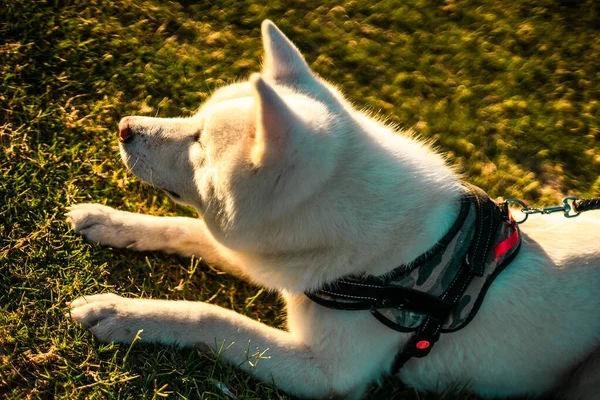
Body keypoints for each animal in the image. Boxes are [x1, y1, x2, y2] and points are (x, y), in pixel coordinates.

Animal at [68, 20, 596, 398]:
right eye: (195, 118)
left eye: (200, 143)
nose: (124, 127)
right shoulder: (266, 256)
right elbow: (181, 228)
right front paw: (110, 220)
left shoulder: (328, 375)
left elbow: (211, 317)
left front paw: (122, 312)